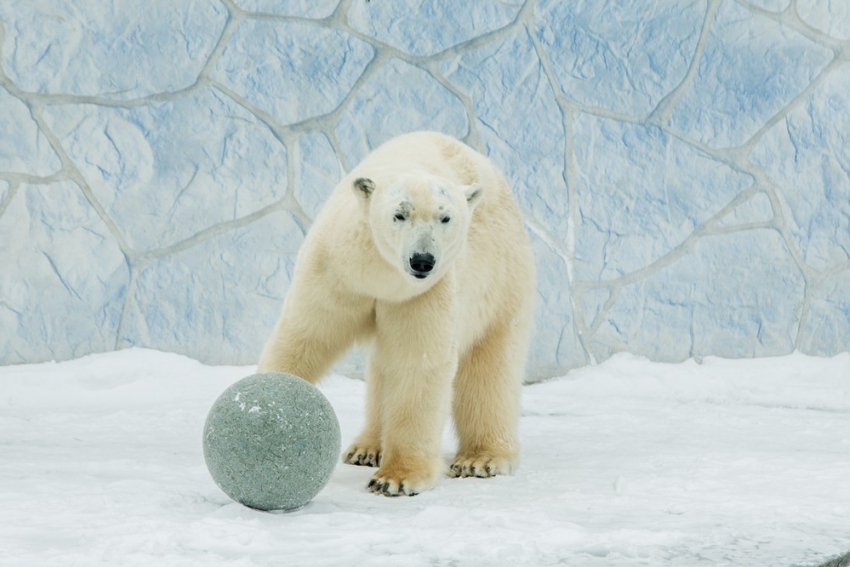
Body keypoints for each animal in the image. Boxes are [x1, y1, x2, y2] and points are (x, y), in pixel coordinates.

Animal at [256, 132, 528, 496]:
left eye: (445, 217)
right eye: (400, 214)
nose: (422, 260)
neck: (381, 278)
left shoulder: (423, 293)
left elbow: (417, 362)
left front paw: (396, 478)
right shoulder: (336, 271)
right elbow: (305, 337)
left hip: (502, 280)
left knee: (492, 366)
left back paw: (481, 459)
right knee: (382, 367)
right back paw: (366, 448)